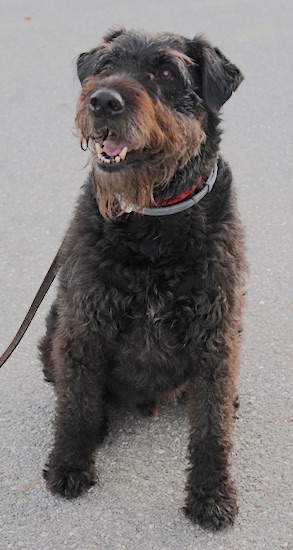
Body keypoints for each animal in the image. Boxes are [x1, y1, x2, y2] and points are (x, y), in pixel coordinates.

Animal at [38, 28, 246, 532]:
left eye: (167, 72)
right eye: (106, 65)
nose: (103, 101)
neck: (152, 216)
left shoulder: (216, 335)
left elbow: (211, 429)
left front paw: (211, 494)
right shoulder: (82, 325)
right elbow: (75, 406)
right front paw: (70, 463)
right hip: (53, 325)